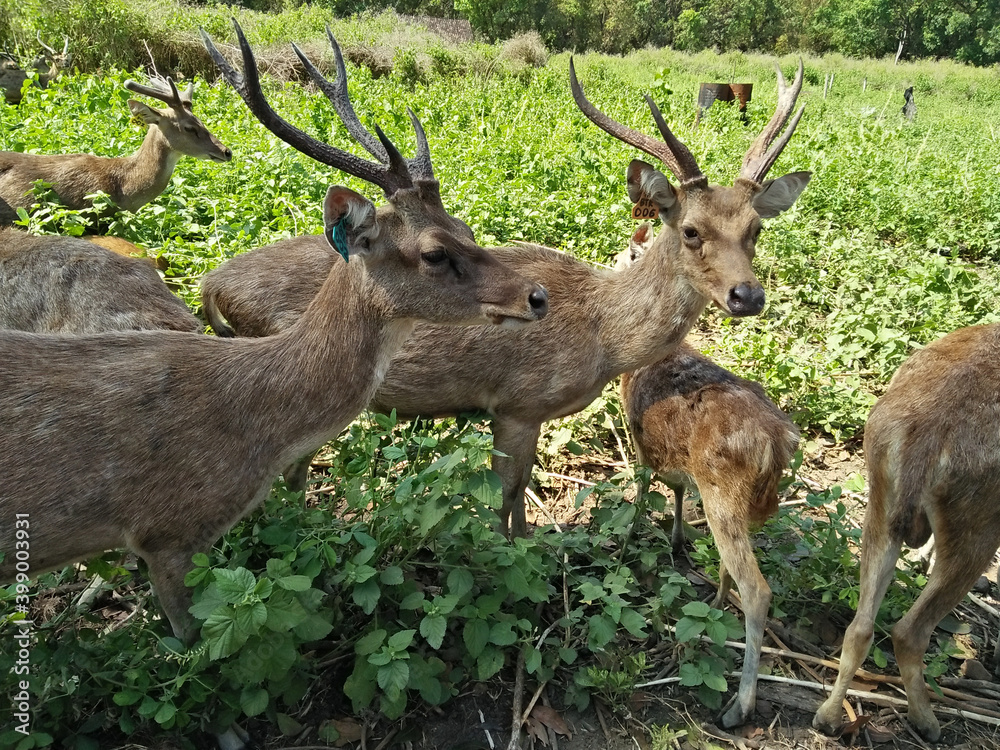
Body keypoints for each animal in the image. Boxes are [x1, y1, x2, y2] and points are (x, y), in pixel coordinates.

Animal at [201, 56, 811, 545]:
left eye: (755, 228)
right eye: (690, 230)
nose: (747, 295)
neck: (601, 337)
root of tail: (210, 285)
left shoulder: (533, 413)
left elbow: (523, 488)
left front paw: (530, 540)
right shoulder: (516, 402)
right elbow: (508, 489)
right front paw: (509, 552)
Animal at [616, 230, 800, 727]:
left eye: (627, 255)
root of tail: (778, 442)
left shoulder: (637, 435)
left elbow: (642, 489)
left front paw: (629, 540)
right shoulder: (676, 458)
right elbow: (678, 488)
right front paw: (677, 540)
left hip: (723, 490)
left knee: (758, 589)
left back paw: (741, 704)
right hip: (740, 501)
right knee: (732, 562)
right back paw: (716, 603)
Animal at [813, 322, 1000, 742]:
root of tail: (929, 438)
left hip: (881, 498)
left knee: (861, 626)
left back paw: (828, 717)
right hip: (978, 526)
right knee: (909, 632)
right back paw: (927, 721)